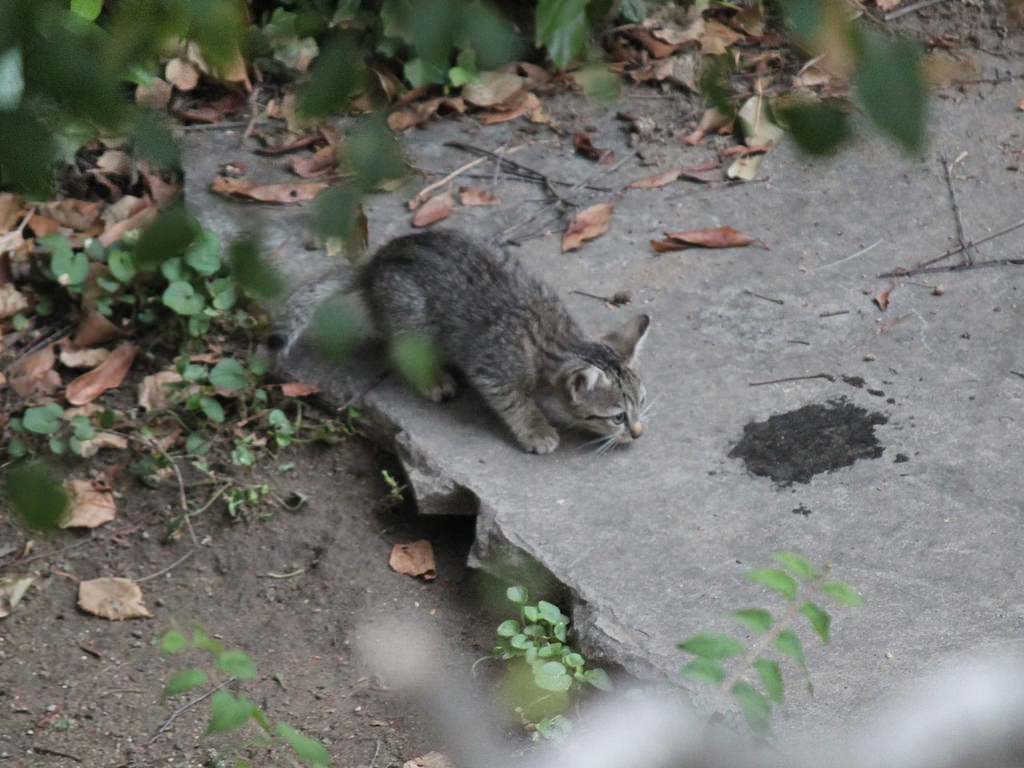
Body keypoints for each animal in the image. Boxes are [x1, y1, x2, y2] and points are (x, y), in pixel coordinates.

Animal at [358, 231, 647, 454]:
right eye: (618, 417)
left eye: (642, 402)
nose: (638, 432)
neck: (555, 341)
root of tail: (376, 262)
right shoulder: (489, 369)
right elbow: (516, 402)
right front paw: (536, 429)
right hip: (411, 322)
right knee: (402, 352)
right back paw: (434, 379)